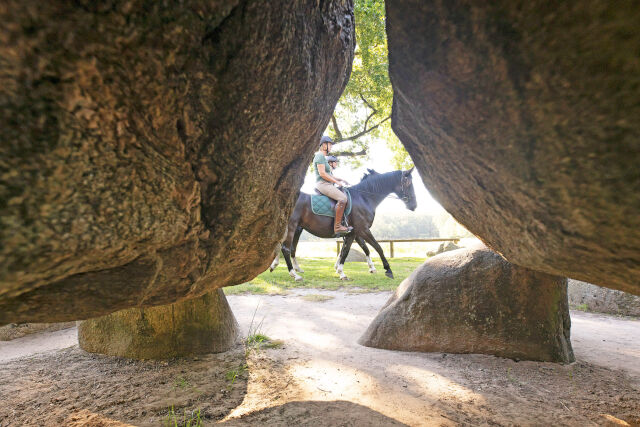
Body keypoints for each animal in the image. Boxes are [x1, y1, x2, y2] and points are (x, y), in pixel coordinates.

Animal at [272, 169, 418, 282]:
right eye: (408, 183)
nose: (414, 205)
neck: (364, 198)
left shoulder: (352, 233)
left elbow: (347, 251)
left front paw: (341, 271)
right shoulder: (362, 229)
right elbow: (377, 247)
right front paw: (388, 270)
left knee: (284, 247)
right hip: (292, 228)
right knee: (286, 248)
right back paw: (294, 274)